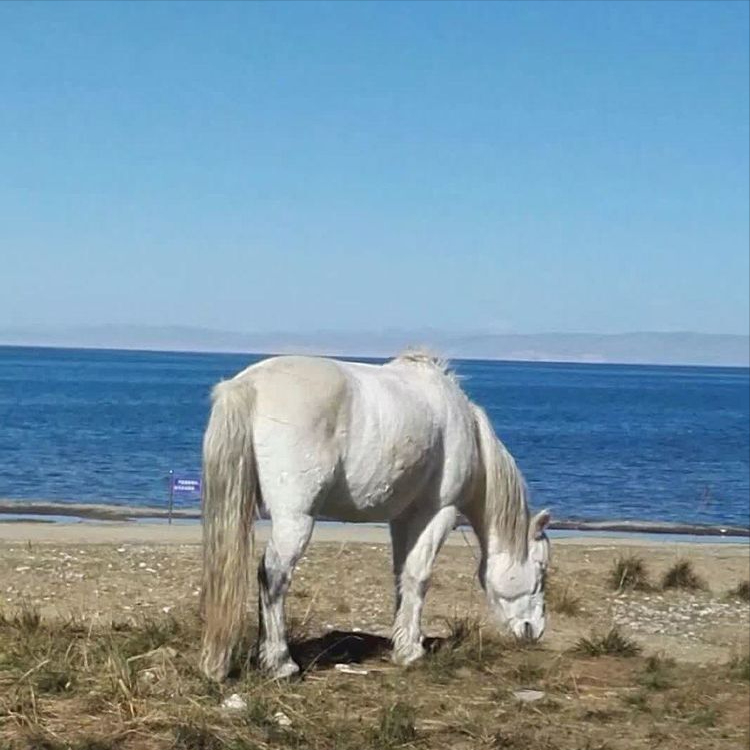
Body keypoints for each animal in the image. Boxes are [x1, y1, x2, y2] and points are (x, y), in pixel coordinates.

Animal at [200, 352, 552, 680]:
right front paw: (411, 652)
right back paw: (280, 664)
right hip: (295, 519)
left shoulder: (403, 518)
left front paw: (403, 641)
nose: (535, 630)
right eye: (541, 569)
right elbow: (419, 575)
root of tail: (247, 385)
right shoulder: (439, 513)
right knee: (273, 576)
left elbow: (402, 575)